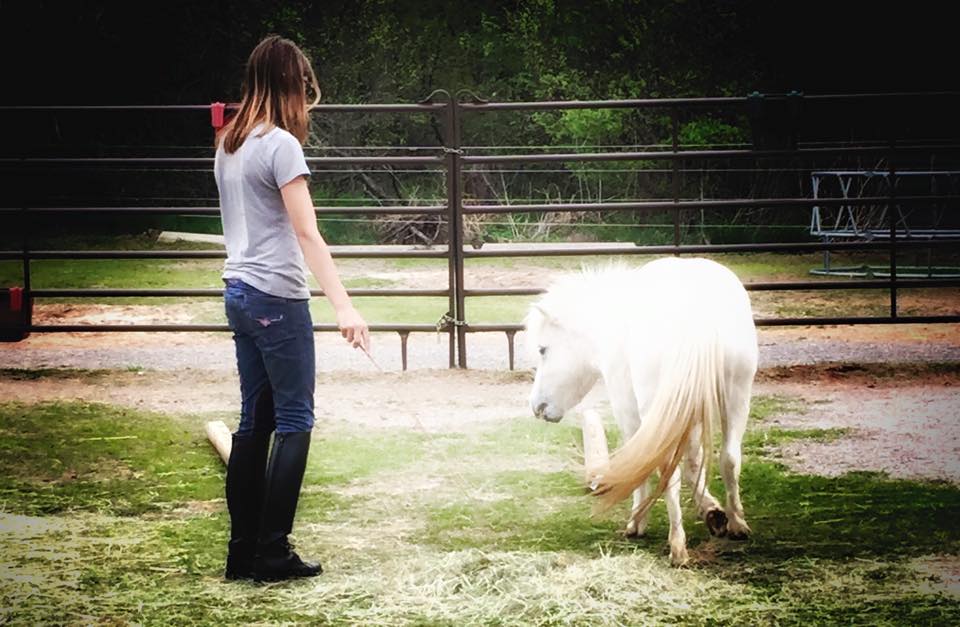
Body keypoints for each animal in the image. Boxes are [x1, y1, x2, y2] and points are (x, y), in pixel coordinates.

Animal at [524, 258, 756, 568]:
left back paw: (677, 546)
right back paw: (737, 523)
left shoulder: (630, 410)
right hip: (736, 399)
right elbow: (694, 463)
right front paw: (712, 512)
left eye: (542, 349)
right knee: (729, 459)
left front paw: (637, 521)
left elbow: (641, 459)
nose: (537, 406)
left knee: (668, 470)